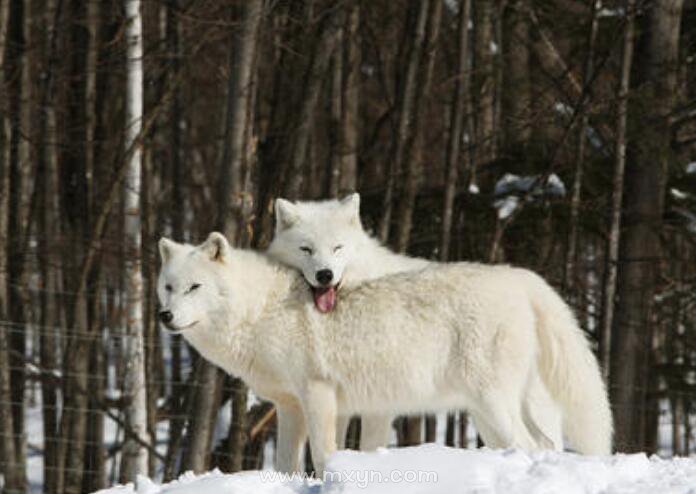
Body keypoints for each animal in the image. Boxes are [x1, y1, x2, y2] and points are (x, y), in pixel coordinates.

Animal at [156, 232, 608, 474]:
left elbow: (324, 455)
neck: (259, 310)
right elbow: (286, 463)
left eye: (195, 287)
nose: (165, 316)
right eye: (168, 287)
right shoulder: (289, 406)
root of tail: (522, 278)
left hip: (492, 404)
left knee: (532, 446)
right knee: (542, 444)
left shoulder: (319, 396)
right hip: (488, 411)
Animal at [270, 194, 612, 456]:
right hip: (487, 411)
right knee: (543, 442)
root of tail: (522, 277)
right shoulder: (342, 402)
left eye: (338, 248)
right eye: (306, 249)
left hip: (495, 401)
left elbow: (366, 447)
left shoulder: (377, 406)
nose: (325, 275)